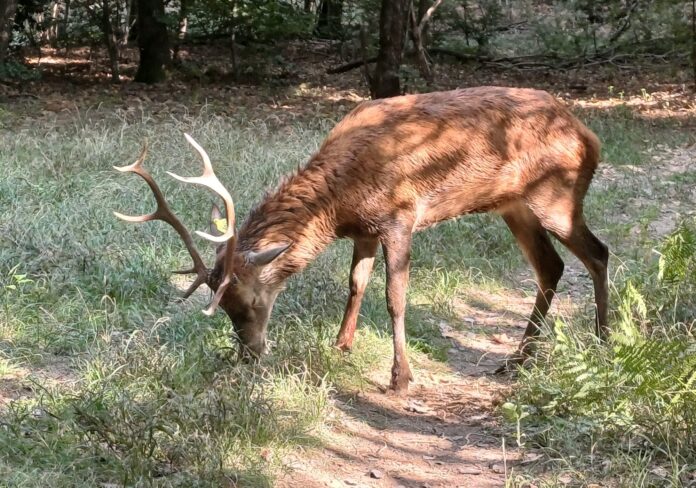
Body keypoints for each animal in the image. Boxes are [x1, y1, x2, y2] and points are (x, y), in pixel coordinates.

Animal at [114, 86, 609, 394]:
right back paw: (518, 360)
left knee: (597, 253)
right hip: (513, 205)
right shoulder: (365, 230)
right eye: (225, 310)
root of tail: (590, 137)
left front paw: (400, 378)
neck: (340, 201)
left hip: (556, 194)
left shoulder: (401, 215)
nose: (251, 354)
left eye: (250, 302)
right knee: (552, 266)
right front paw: (341, 346)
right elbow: (355, 284)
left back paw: (603, 340)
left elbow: (395, 296)